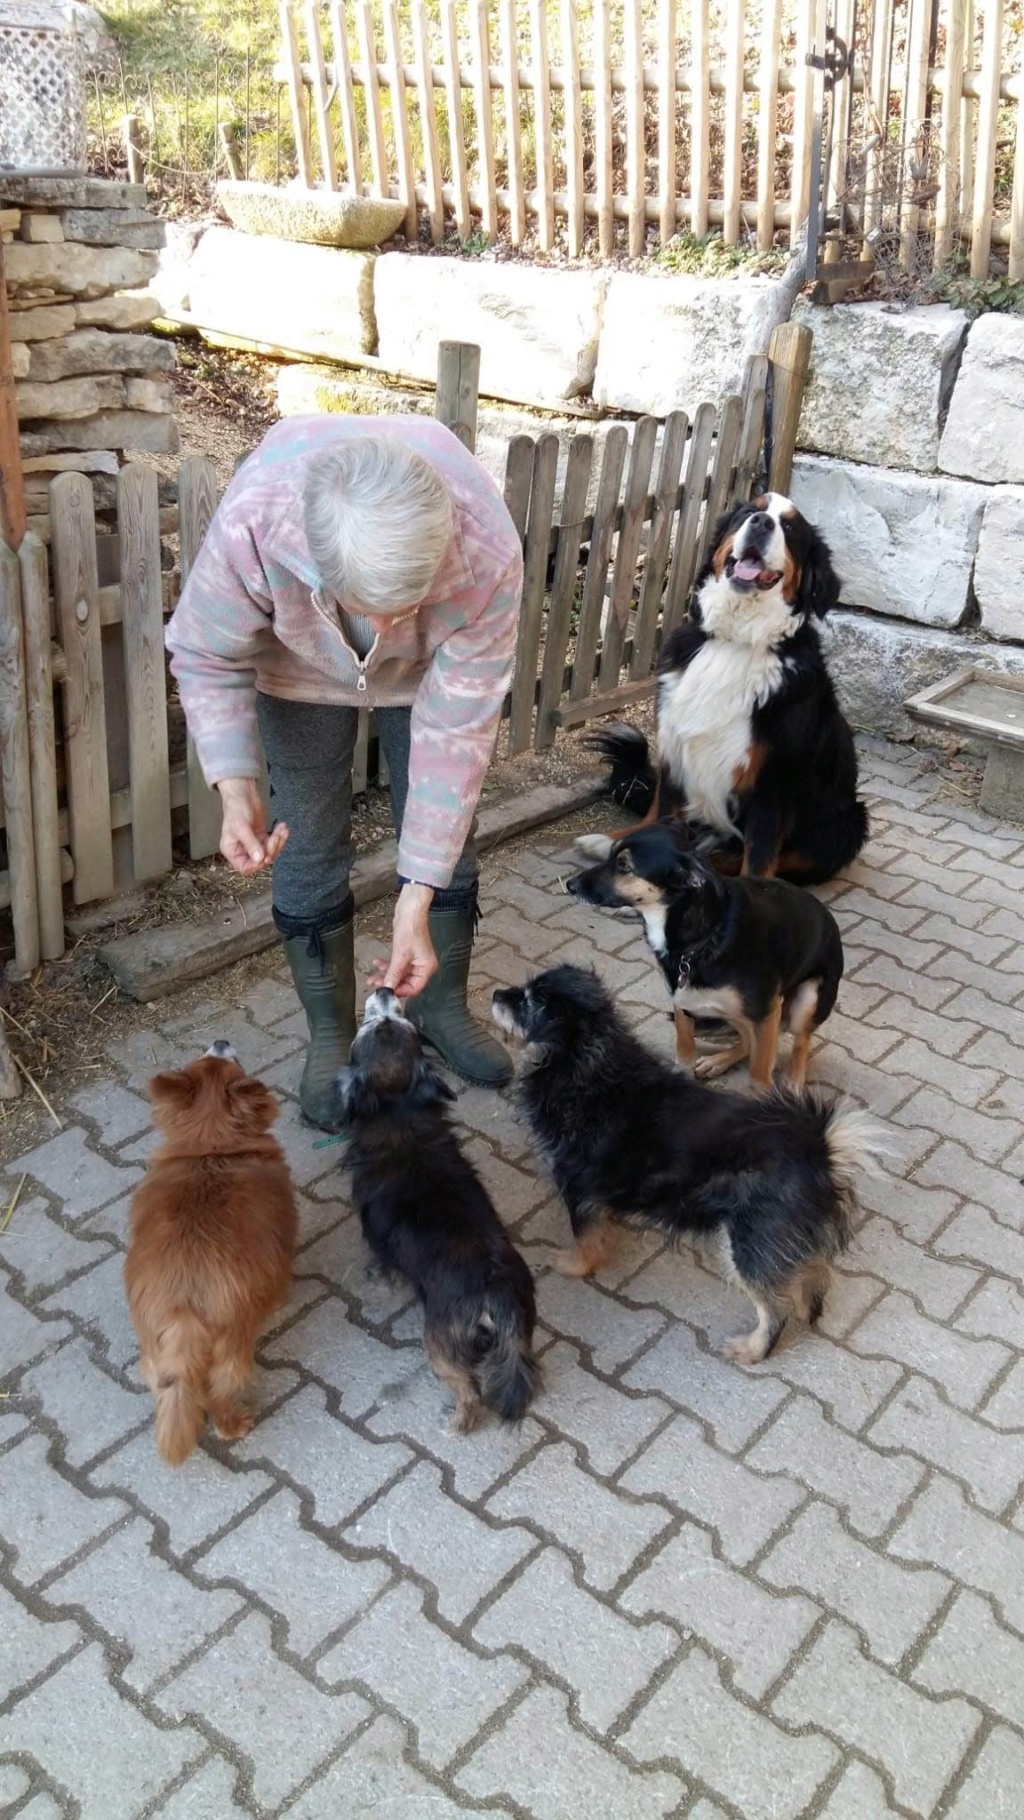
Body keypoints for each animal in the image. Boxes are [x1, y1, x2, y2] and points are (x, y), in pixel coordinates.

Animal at [125, 1041, 296, 1463]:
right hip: (233, 1354)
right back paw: (234, 1424)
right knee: (220, 1395)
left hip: (156, 1360)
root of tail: (184, 1309)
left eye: (208, 1058)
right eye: (225, 1059)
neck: (210, 1147)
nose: (220, 1042)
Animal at [491, 968, 891, 1368]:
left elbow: (585, 1239)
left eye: (529, 1001)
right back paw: (809, 1308)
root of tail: (820, 1147)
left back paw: (752, 1349)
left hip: (752, 1241)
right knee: (814, 1273)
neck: (585, 1064)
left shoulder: (576, 1184)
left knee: (776, 1308)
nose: (495, 994)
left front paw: (574, 1265)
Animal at [589, 484, 869, 880]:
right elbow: (659, 815)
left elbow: (759, 861)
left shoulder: (773, 783)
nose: (763, 523)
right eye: (749, 513)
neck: (735, 640)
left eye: (790, 528)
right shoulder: (675, 746)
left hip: (846, 822)